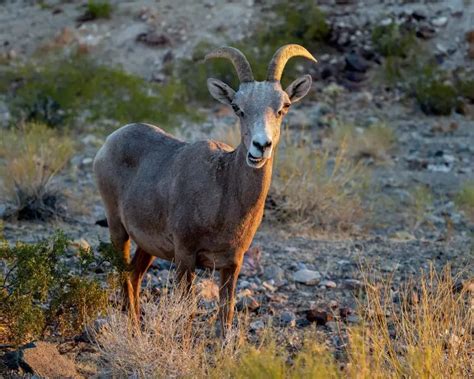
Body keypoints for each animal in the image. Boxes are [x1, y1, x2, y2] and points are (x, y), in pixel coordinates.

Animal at [94, 43, 316, 332]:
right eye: (237, 107)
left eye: (284, 106)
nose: (261, 146)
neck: (222, 196)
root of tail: (110, 141)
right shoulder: (185, 257)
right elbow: (185, 315)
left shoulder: (232, 265)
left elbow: (225, 316)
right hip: (118, 230)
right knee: (124, 277)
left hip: (147, 247)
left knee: (133, 277)